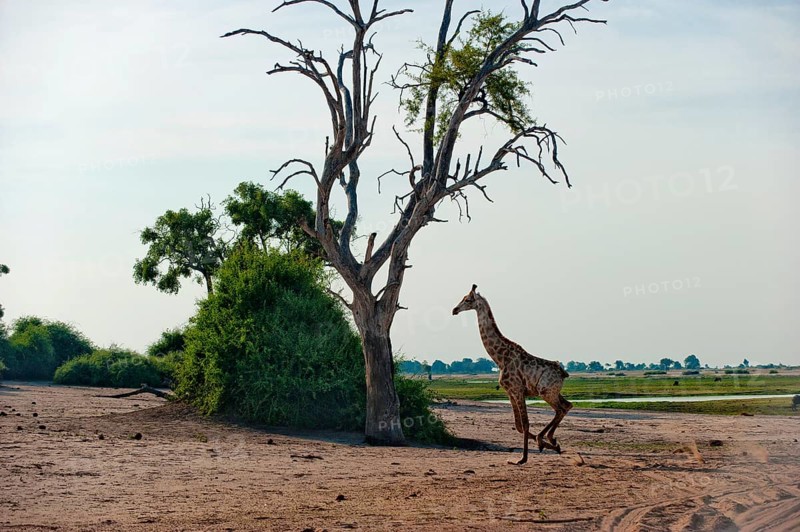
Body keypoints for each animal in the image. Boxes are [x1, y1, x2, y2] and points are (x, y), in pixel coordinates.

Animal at [452, 284, 572, 465]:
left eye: (467, 299)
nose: (454, 310)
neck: (500, 358)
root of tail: (564, 373)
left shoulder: (517, 390)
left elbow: (525, 423)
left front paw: (522, 458)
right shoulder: (509, 392)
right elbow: (518, 425)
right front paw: (547, 446)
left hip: (545, 391)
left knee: (560, 409)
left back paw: (545, 439)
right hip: (553, 391)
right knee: (567, 405)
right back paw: (551, 441)